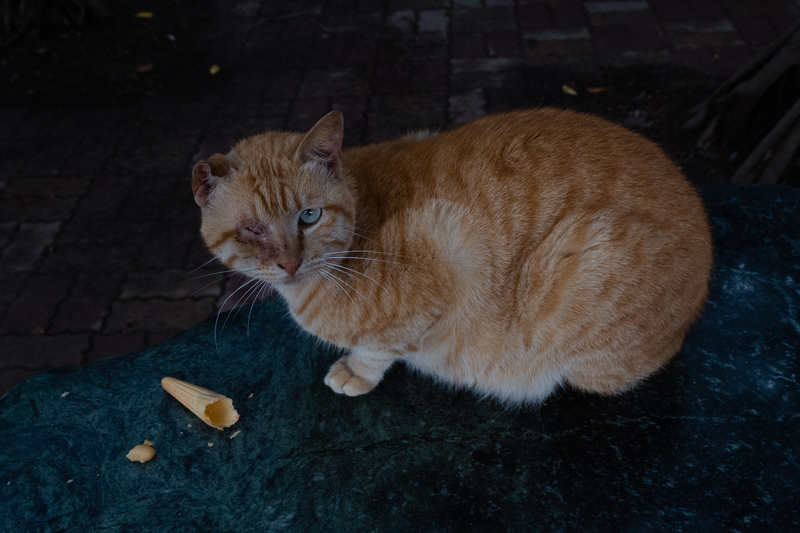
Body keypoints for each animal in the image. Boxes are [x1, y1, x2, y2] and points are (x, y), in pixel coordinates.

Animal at [192, 110, 712, 406]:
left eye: (309, 216)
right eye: (252, 230)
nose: (290, 264)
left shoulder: (445, 261)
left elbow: (380, 348)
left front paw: (357, 372)